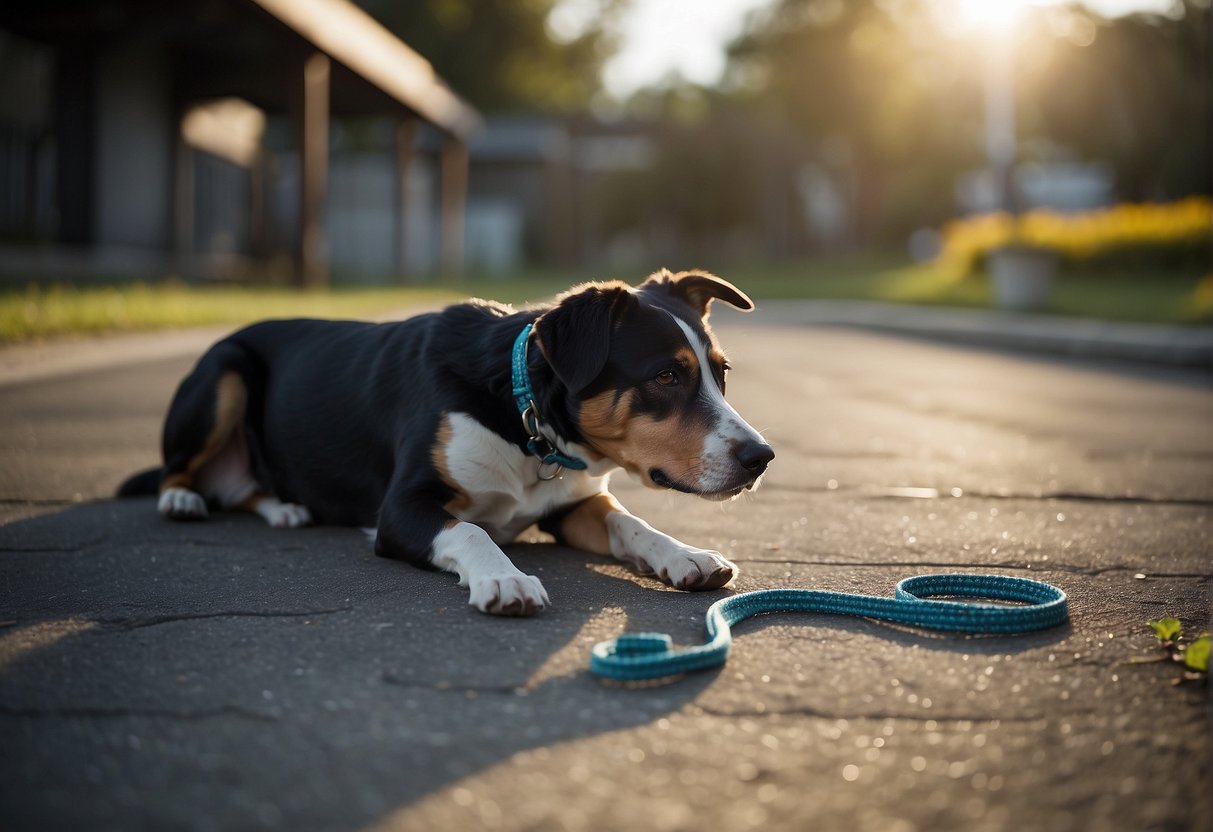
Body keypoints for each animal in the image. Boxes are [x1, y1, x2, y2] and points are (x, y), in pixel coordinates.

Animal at [118, 270, 771, 616]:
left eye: (721, 372)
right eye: (665, 376)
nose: (761, 458)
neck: (524, 420)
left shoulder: (575, 504)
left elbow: (630, 523)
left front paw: (685, 554)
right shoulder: (402, 507)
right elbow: (472, 530)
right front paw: (504, 578)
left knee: (244, 488)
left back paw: (284, 506)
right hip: (225, 370)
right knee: (183, 472)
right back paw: (183, 500)